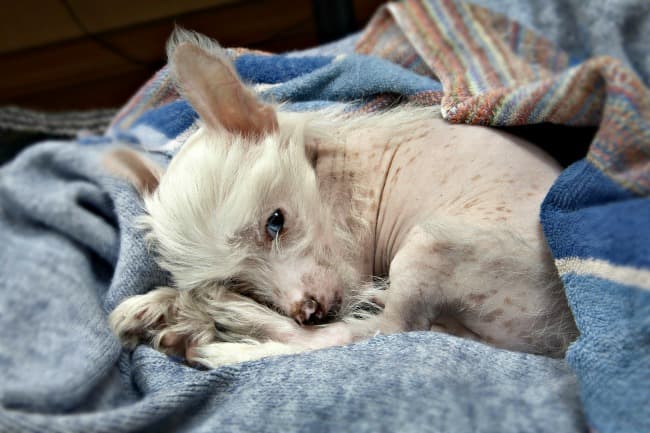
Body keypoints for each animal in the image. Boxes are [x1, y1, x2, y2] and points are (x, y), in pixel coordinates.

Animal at [106, 28, 576, 366]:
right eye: (238, 279)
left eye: (276, 222)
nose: (308, 310)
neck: (324, 172)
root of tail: (562, 337)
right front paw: (159, 303)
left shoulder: (349, 262)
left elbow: (340, 329)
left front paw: (186, 307)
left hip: (430, 243)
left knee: (369, 334)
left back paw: (221, 341)